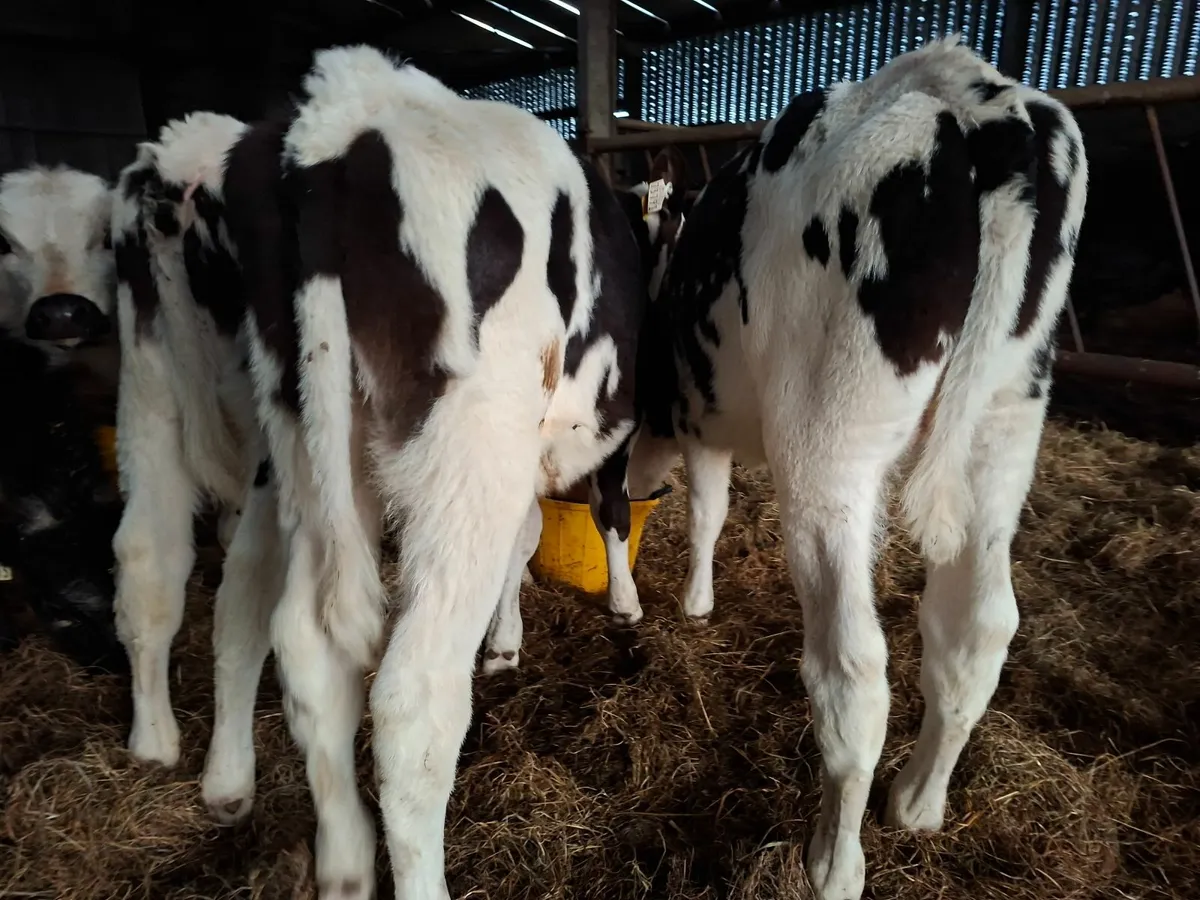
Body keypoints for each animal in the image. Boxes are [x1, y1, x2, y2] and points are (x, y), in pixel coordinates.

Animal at [596, 35, 1088, 900]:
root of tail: (975, 95)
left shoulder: (697, 419)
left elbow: (706, 512)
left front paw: (692, 603)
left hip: (828, 450)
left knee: (853, 671)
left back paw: (834, 862)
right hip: (1005, 418)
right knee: (978, 627)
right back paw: (918, 802)